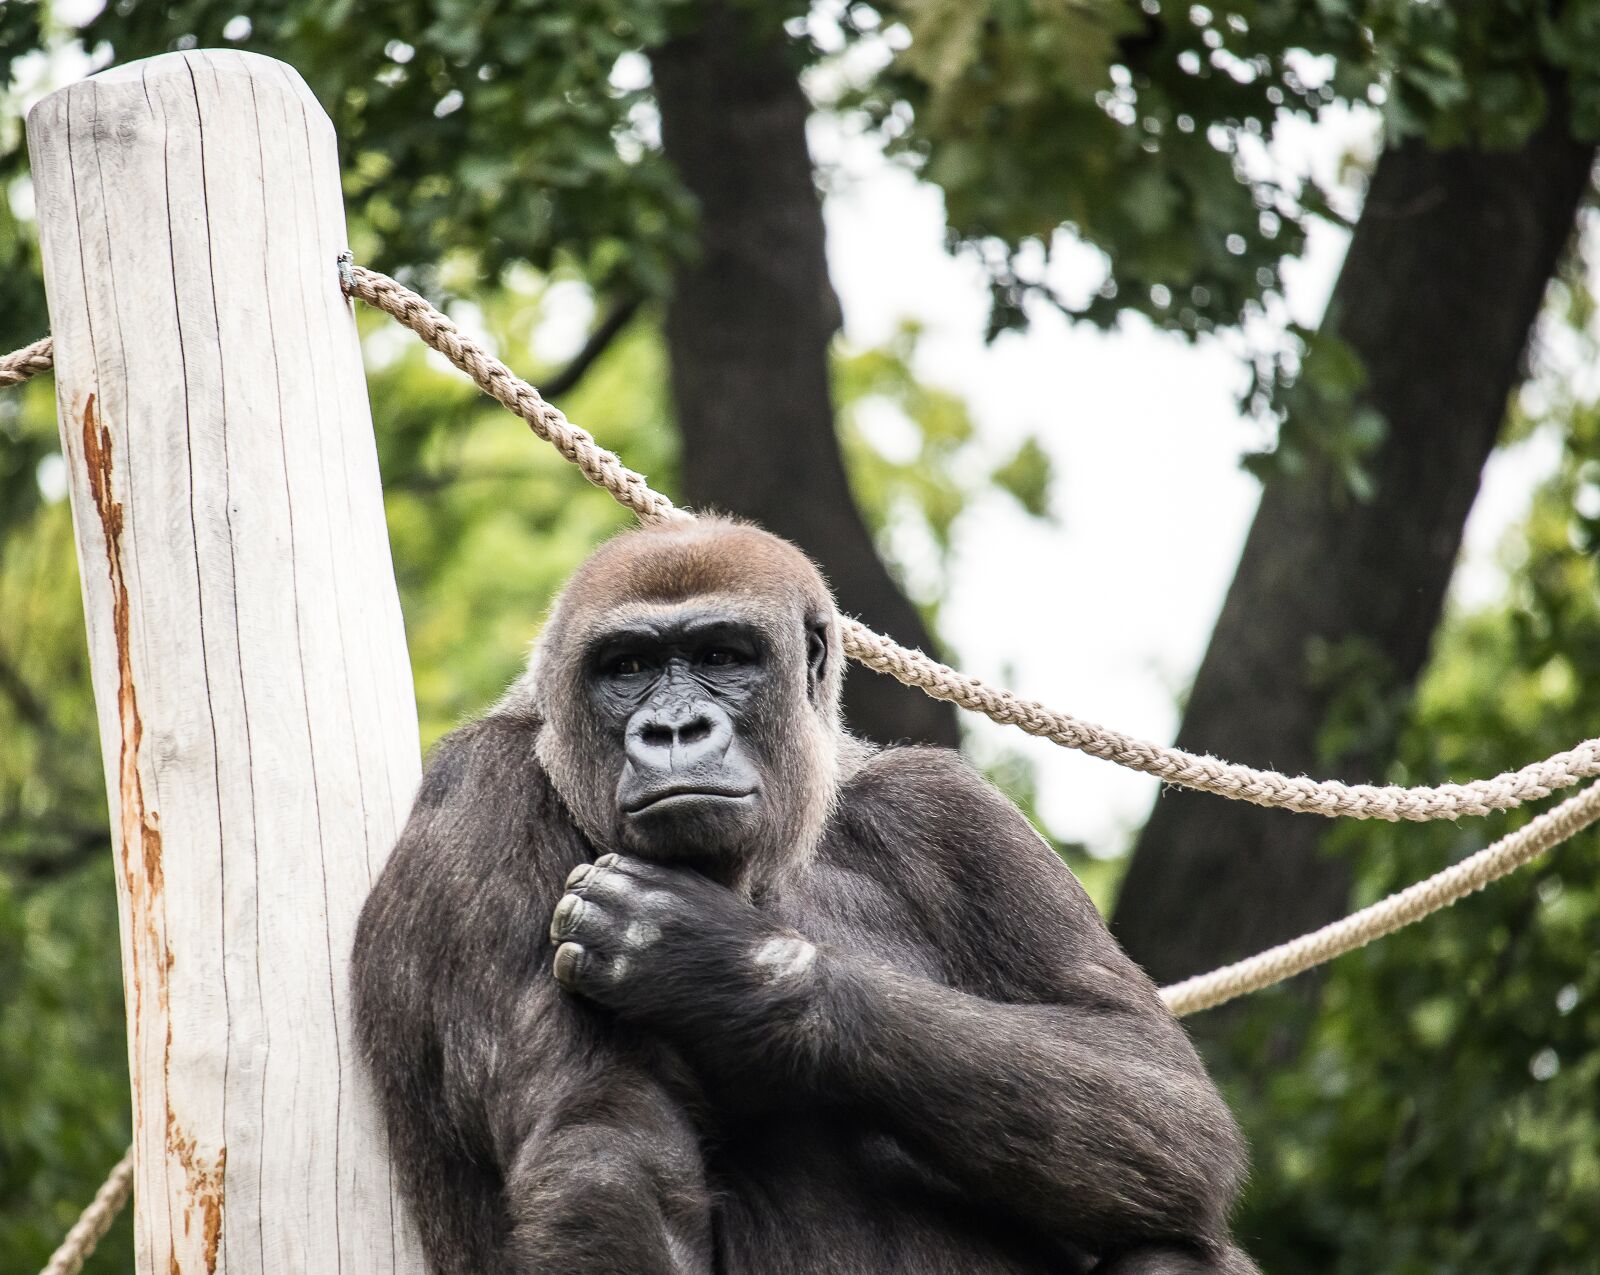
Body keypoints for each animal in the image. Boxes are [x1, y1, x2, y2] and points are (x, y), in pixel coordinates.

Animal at [352, 516, 1260, 1275]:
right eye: (628, 667)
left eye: (722, 657)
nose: (674, 730)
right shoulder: (486, 791)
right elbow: (605, 1148)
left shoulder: (956, 813)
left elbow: (1156, 1085)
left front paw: (730, 966)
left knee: (1166, 1240)